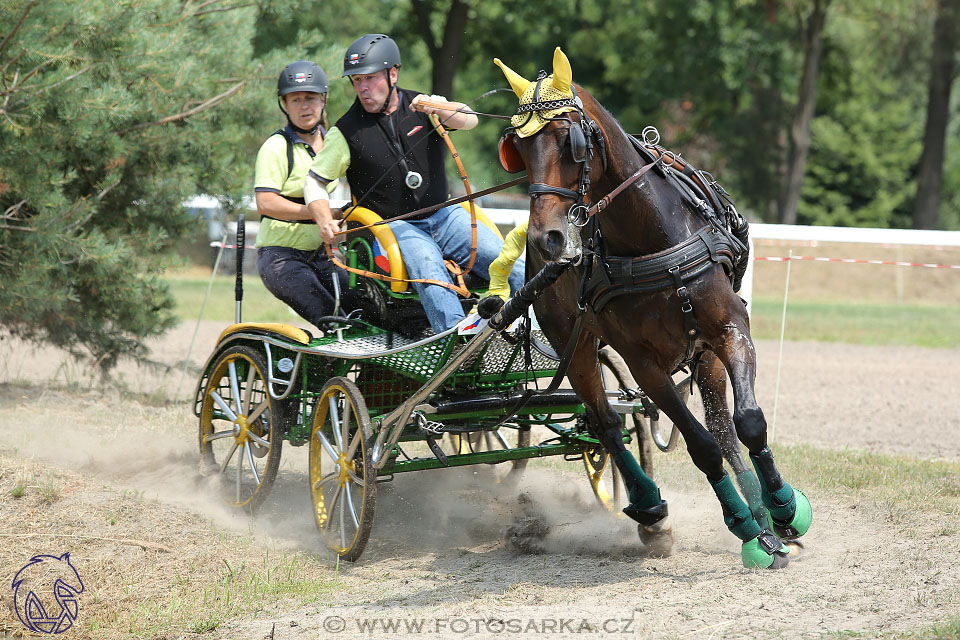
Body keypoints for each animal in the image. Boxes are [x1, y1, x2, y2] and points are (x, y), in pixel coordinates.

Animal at [496, 50, 808, 568]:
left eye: (568, 141)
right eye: (517, 149)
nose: (548, 238)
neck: (652, 239)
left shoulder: (729, 328)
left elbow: (747, 422)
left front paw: (783, 511)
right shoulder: (643, 364)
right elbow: (700, 446)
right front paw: (745, 528)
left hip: (702, 353)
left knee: (722, 425)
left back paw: (765, 514)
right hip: (575, 346)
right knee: (605, 423)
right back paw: (651, 508)